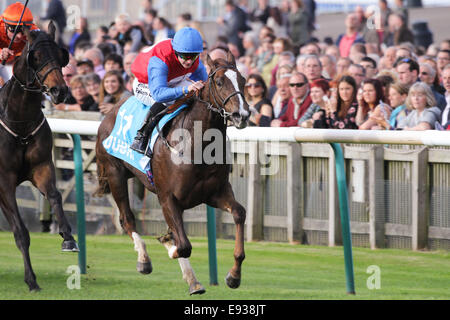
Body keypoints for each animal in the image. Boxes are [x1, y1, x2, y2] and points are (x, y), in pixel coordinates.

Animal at [0, 23, 77, 292]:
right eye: (36, 56)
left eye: (61, 55)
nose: (59, 90)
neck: (20, 123)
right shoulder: (4, 181)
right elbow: (20, 232)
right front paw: (31, 280)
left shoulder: (42, 167)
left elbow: (54, 195)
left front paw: (68, 237)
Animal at [96, 53, 250, 296]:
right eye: (219, 82)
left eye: (243, 81)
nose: (242, 114)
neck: (196, 144)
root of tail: (112, 110)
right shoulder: (167, 197)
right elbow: (184, 245)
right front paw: (169, 245)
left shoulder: (215, 193)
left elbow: (239, 213)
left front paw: (234, 276)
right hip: (115, 174)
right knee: (127, 219)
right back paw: (144, 260)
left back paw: (193, 281)